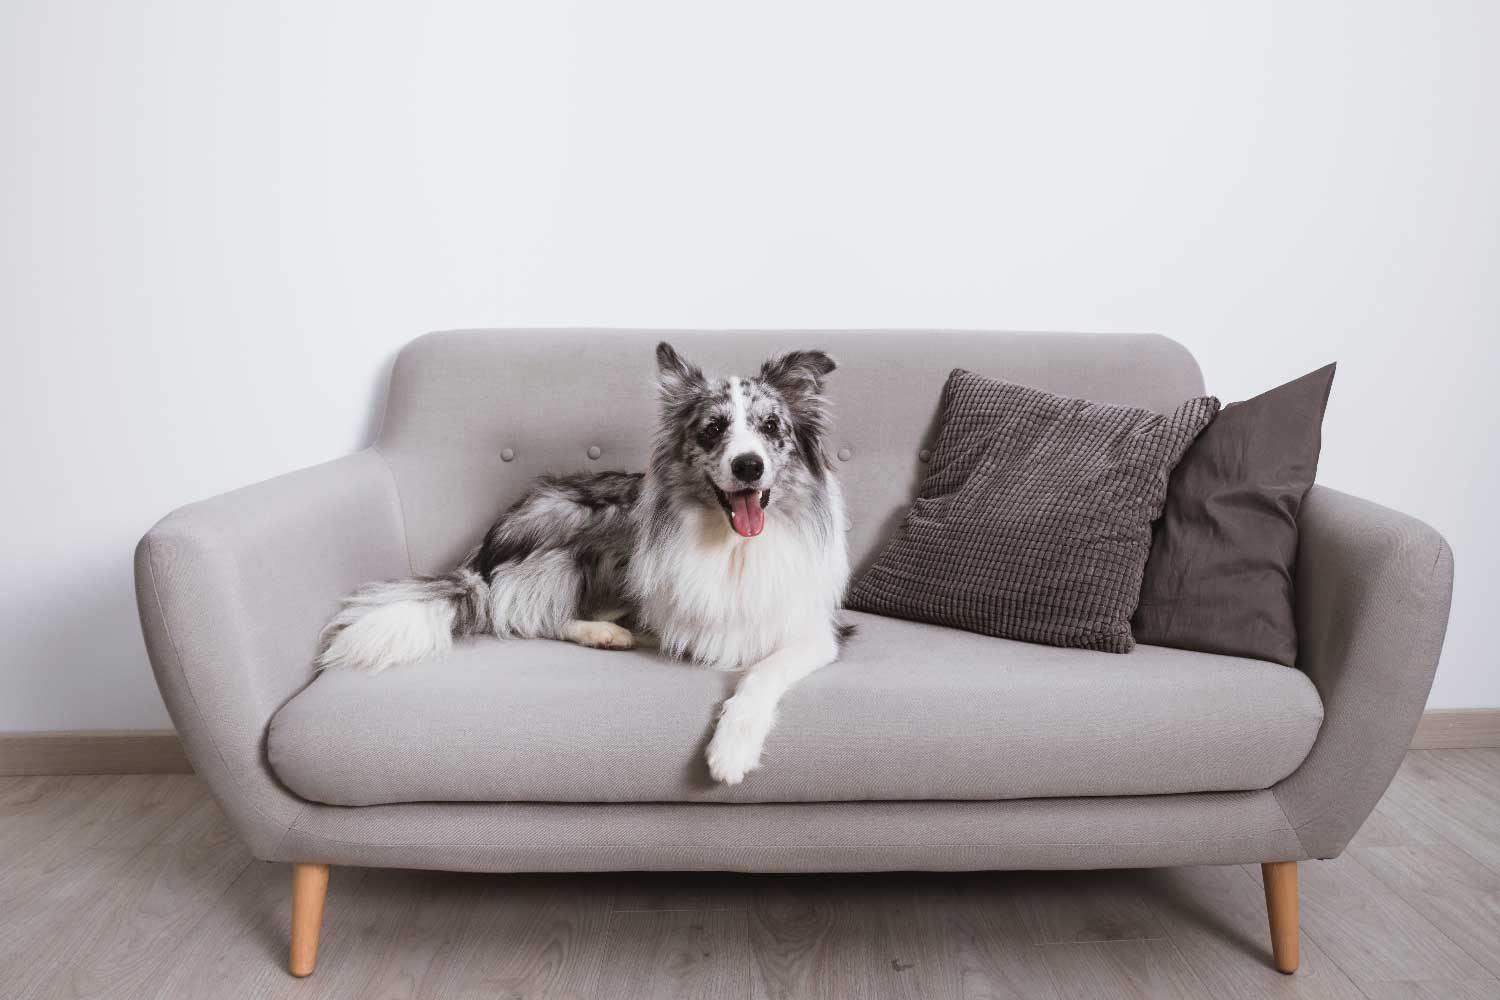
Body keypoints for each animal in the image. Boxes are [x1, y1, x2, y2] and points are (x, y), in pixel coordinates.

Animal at [316, 340, 852, 785]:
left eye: (771, 427)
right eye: (714, 428)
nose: (748, 466)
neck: (735, 546)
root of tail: (485, 549)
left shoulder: (816, 632)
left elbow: (763, 671)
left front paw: (732, 748)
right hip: (597, 532)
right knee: (525, 613)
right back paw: (604, 632)